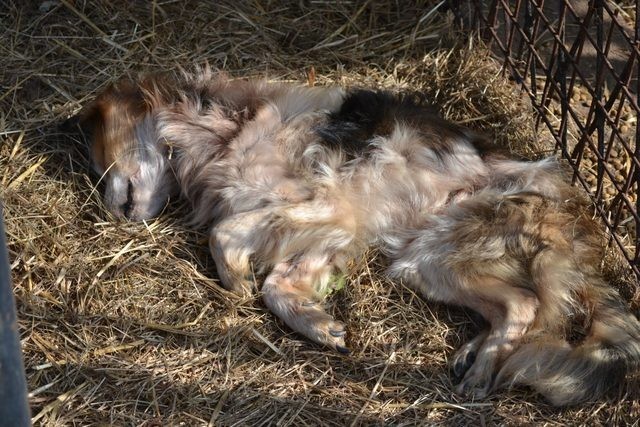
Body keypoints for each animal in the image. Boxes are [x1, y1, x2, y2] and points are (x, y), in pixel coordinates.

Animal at [80, 68, 640, 406]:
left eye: (100, 151)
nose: (109, 211)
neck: (224, 128)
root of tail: (573, 212)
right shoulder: (331, 234)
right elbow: (280, 285)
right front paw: (317, 323)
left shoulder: (326, 203)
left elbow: (225, 234)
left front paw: (235, 278)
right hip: (426, 261)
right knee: (516, 305)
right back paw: (476, 356)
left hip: (449, 245)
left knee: (526, 305)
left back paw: (482, 373)